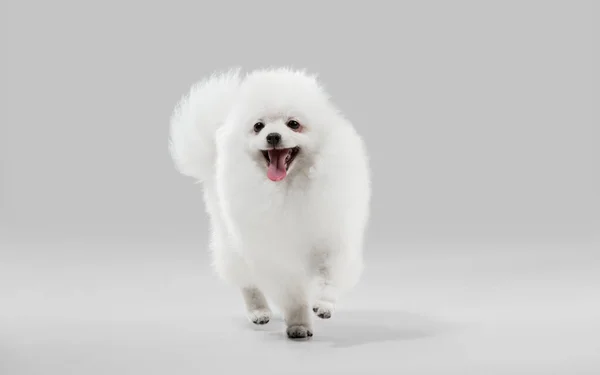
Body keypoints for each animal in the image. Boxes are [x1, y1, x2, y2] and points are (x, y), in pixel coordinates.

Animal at [166, 68, 368, 340]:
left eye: (293, 123)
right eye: (258, 126)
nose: (272, 136)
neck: (289, 188)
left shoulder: (333, 236)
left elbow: (331, 276)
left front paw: (324, 304)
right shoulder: (275, 255)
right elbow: (292, 295)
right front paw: (298, 324)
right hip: (233, 246)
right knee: (248, 283)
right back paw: (259, 311)